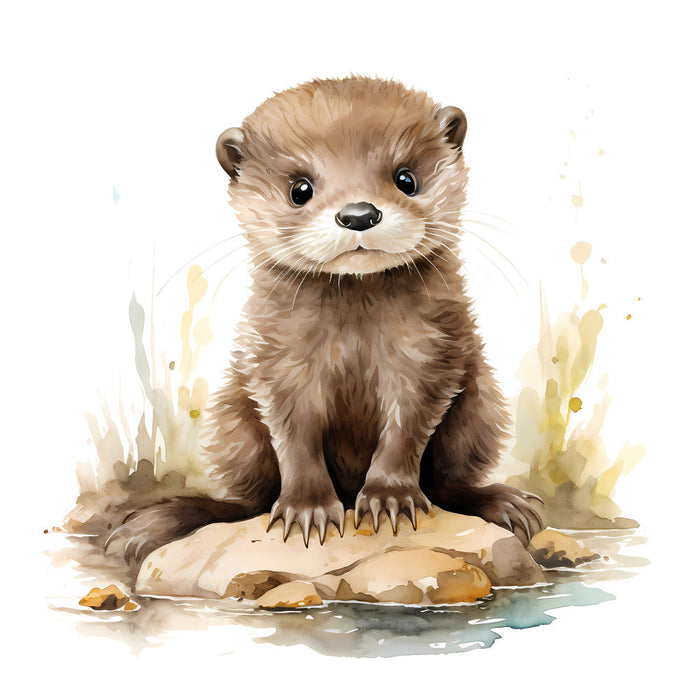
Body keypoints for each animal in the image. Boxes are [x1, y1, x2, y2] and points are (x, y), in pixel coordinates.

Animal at [108, 77, 542, 562]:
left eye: (406, 178)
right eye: (300, 188)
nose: (359, 214)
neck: (356, 337)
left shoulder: (431, 354)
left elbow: (406, 429)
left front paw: (390, 498)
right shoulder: (276, 363)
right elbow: (294, 437)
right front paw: (308, 508)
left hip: (480, 411)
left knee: (450, 482)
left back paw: (503, 503)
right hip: (233, 423)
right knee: (246, 501)